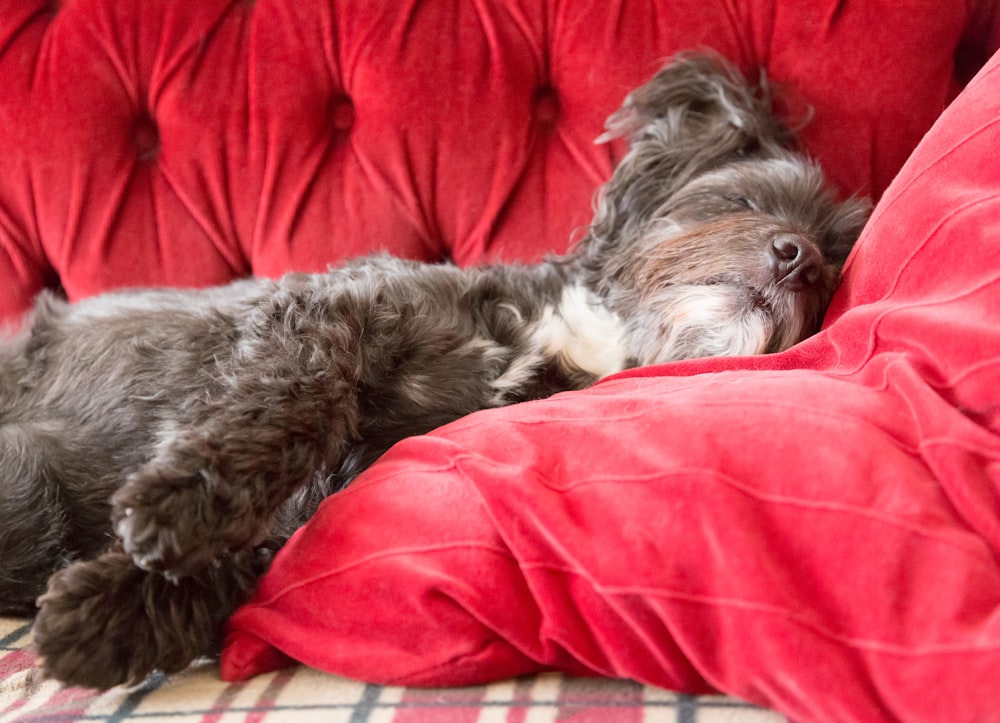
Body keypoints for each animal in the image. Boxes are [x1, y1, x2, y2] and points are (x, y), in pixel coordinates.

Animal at [0, 53, 868, 688]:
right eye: (747, 199)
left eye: (833, 268)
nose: (798, 259)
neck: (573, 336)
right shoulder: (327, 316)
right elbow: (292, 402)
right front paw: (179, 507)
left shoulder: (344, 482)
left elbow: (255, 562)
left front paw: (107, 614)